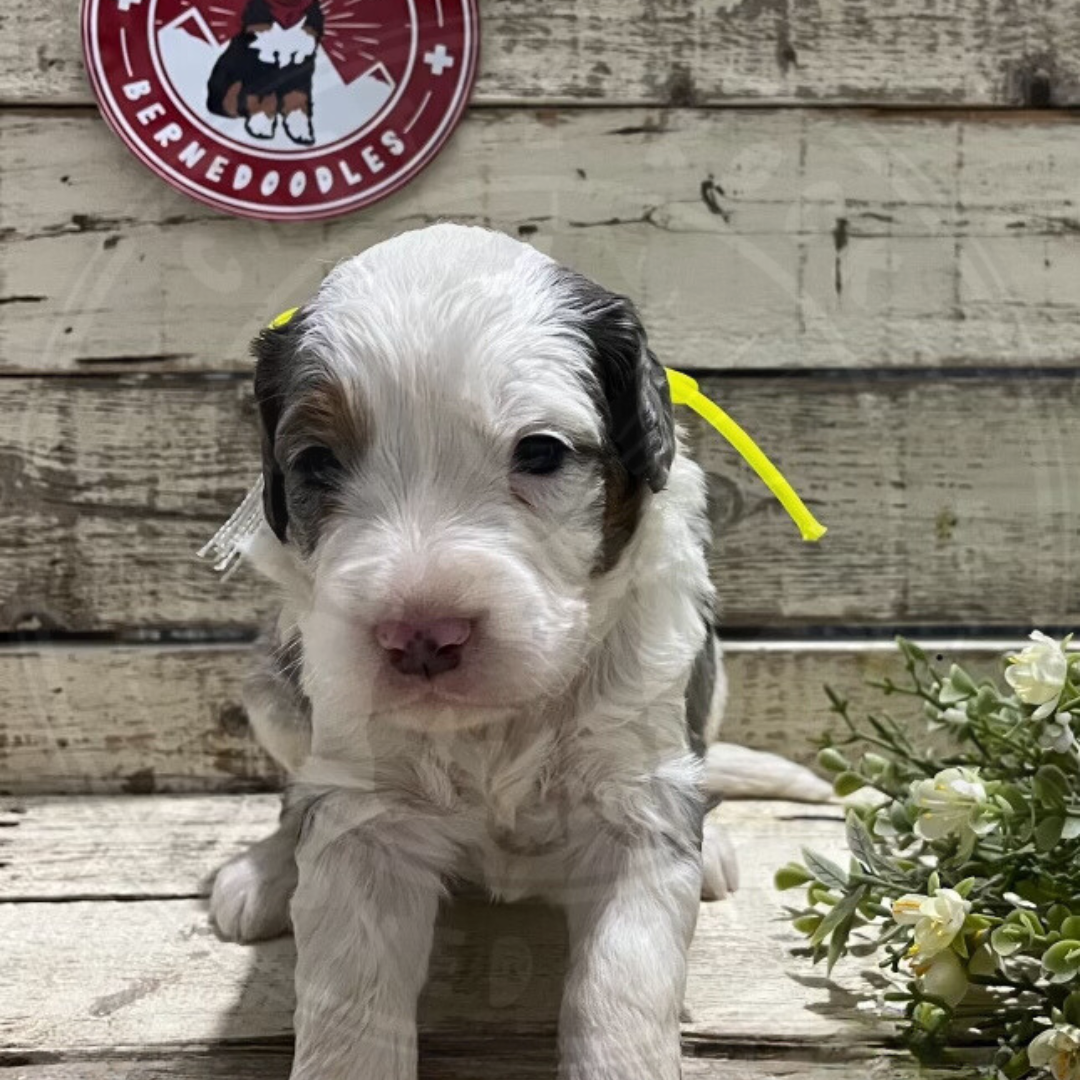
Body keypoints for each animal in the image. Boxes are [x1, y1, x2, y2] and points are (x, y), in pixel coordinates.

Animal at [210, 225, 738, 1080]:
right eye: (318, 461)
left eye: (541, 452)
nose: (422, 634)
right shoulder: (365, 813)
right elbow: (349, 1008)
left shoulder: (636, 800)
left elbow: (619, 993)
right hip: (273, 689)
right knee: (294, 794)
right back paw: (266, 870)